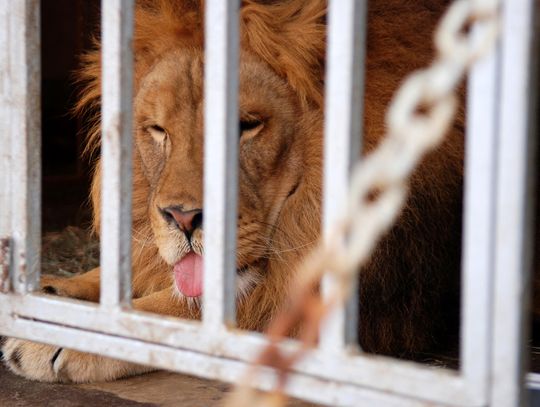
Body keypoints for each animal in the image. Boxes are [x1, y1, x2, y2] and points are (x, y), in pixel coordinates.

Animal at [1, 0, 464, 382]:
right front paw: (52, 292)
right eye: (159, 130)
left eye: (246, 125)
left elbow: (184, 313)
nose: (183, 218)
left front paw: (61, 333)